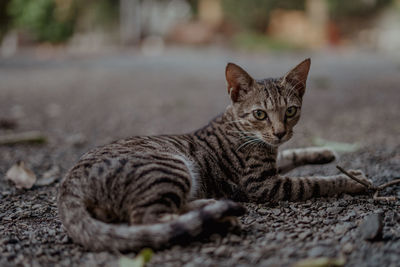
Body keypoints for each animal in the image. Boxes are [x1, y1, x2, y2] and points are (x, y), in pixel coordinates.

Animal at [57, 58, 372, 251]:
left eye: (291, 111)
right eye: (260, 114)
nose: (280, 132)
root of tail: (69, 184)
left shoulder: (273, 161)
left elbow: (293, 154)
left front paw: (324, 152)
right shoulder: (262, 184)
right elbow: (315, 182)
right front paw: (352, 180)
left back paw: (210, 206)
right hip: (171, 166)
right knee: (147, 220)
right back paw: (219, 221)